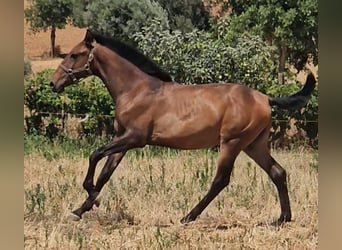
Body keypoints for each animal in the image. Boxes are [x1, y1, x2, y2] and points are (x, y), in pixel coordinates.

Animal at [49, 29, 316, 227]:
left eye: (74, 54)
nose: (53, 83)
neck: (136, 90)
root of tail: (265, 98)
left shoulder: (135, 138)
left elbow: (94, 155)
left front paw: (90, 194)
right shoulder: (121, 139)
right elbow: (105, 173)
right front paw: (81, 209)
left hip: (232, 143)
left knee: (221, 180)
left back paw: (188, 216)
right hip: (254, 144)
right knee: (278, 172)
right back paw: (282, 218)